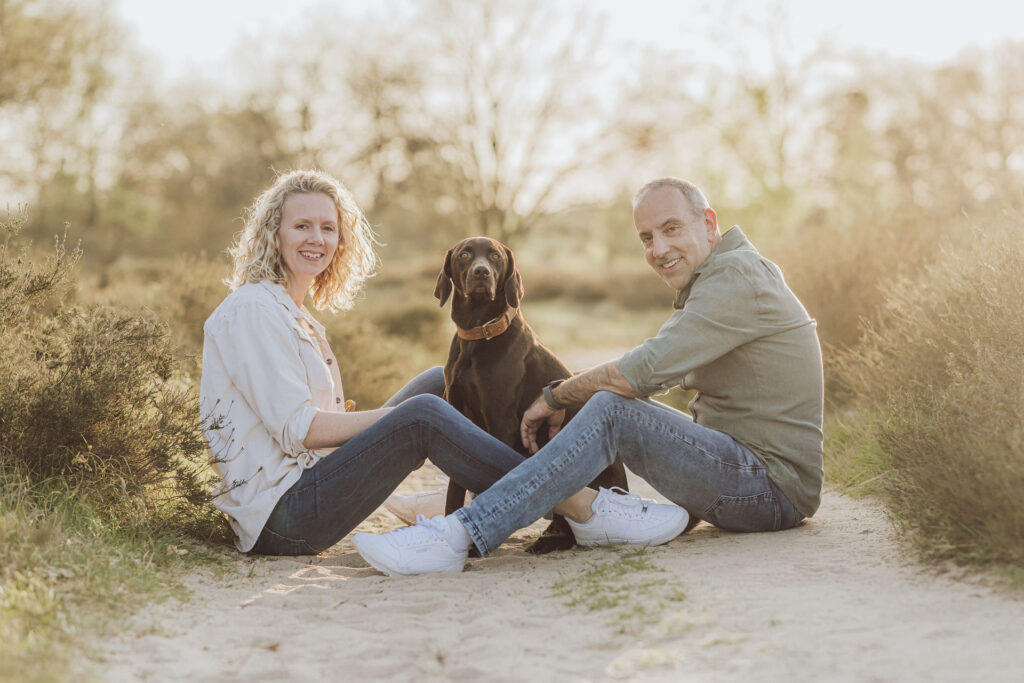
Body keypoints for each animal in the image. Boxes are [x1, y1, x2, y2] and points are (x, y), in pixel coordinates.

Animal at [430, 237, 622, 552]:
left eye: (495, 256)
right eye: (465, 254)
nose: (481, 273)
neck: (480, 333)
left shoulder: (502, 422)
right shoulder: (455, 415)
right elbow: (454, 488)